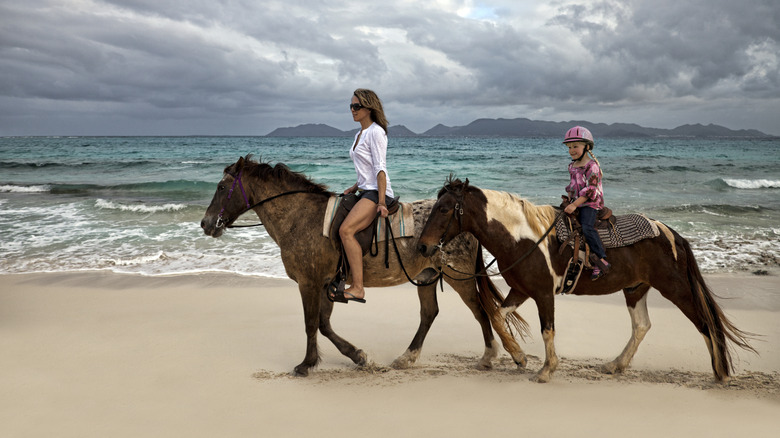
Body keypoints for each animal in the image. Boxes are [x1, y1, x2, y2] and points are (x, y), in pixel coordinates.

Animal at [201, 157, 532, 376]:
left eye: (221, 186)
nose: (206, 223)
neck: (301, 217)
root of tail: (467, 223)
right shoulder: (326, 283)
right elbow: (323, 324)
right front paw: (358, 356)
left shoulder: (309, 282)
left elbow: (311, 323)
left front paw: (307, 364)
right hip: (426, 276)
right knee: (429, 314)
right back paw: (407, 358)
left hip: (457, 276)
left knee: (480, 310)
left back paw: (494, 356)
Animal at [420, 178, 756, 384]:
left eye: (445, 208)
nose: (423, 246)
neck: (522, 238)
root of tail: (672, 233)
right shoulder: (521, 289)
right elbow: (498, 317)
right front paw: (517, 356)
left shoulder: (544, 293)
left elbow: (547, 330)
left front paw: (546, 370)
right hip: (635, 289)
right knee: (642, 325)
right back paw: (615, 365)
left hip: (676, 289)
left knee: (703, 322)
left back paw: (721, 374)